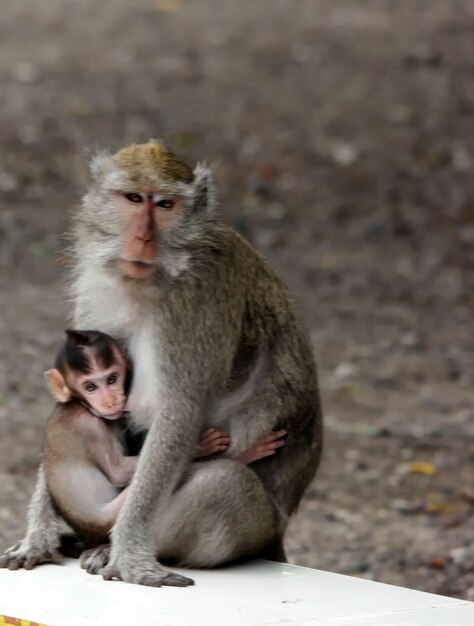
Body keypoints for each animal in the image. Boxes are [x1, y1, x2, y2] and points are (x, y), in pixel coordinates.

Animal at [42, 326, 286, 544]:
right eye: (90, 386)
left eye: (111, 379)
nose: (110, 401)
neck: (80, 404)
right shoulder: (91, 426)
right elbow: (119, 472)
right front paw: (201, 446)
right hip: (113, 515)